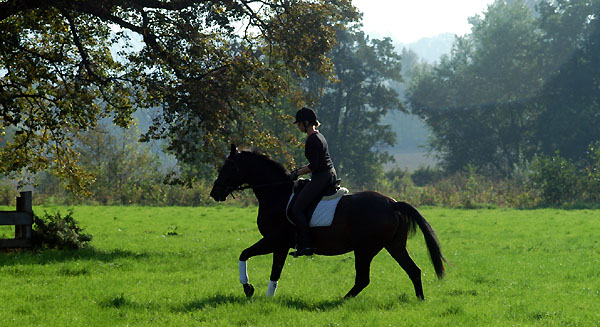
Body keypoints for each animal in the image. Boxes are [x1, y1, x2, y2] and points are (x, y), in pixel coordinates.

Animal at [211, 145, 446, 302]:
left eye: (228, 167)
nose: (214, 193)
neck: (276, 193)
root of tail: (393, 203)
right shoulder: (280, 245)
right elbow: (275, 271)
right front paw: (268, 298)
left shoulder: (274, 240)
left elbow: (244, 254)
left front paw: (248, 288)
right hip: (394, 246)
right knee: (413, 270)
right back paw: (420, 300)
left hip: (365, 249)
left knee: (363, 279)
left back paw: (342, 300)